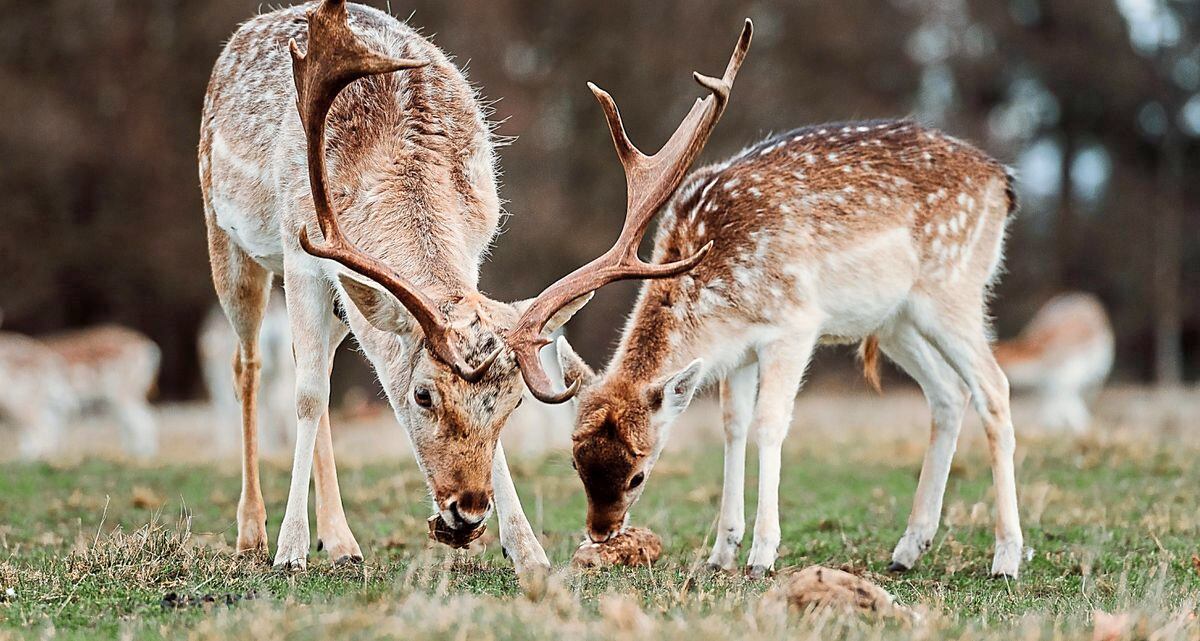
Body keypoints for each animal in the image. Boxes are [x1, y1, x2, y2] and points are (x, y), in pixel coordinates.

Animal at [0, 326, 159, 463]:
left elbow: (38, 437)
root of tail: (150, 348)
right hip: (114, 400)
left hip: (125, 391)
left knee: (142, 420)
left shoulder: (28, 401)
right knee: (131, 423)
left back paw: (142, 457)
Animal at [556, 119, 1027, 578]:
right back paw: (907, 550)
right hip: (895, 320)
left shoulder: (793, 326)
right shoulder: (737, 353)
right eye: (576, 463)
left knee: (994, 387)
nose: (600, 532)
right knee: (949, 393)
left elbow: (768, 423)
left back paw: (1006, 559)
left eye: (638, 474)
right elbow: (733, 425)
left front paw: (762, 555)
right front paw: (721, 552)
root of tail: (1003, 180)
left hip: (952, 290)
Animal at [993, 294, 1113, 434]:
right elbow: (1050, 406)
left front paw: (1080, 428)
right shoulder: (1045, 385)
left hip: (1098, 370)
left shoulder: (1069, 376)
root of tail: (1087, 298)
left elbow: (1068, 403)